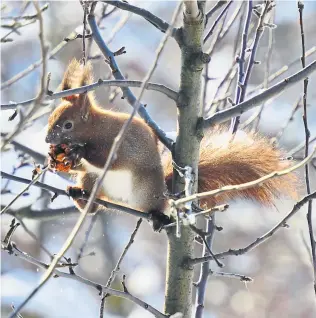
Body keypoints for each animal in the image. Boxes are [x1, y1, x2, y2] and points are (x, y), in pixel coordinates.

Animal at [45, 59, 298, 229]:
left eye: (67, 125)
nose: (47, 139)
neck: (96, 129)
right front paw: (54, 159)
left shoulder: (122, 141)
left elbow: (112, 159)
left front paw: (78, 152)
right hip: (93, 181)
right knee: (93, 208)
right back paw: (79, 194)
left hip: (148, 191)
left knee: (151, 207)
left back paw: (158, 216)